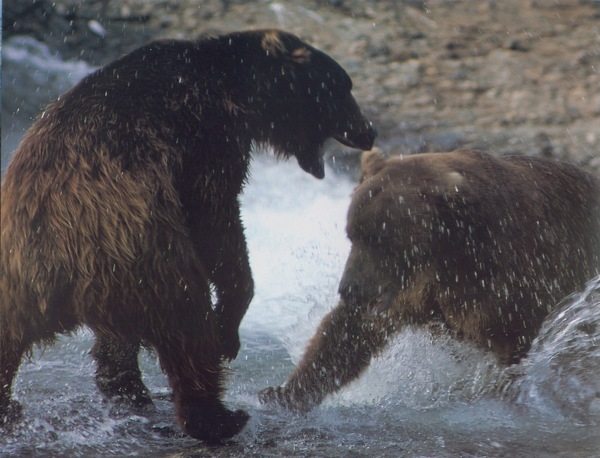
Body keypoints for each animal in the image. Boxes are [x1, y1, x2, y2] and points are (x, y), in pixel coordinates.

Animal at [0, 28, 376, 440]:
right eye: (342, 87)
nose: (368, 131)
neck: (241, 90)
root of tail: (54, 273)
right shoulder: (206, 133)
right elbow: (215, 217)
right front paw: (229, 326)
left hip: (26, 278)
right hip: (138, 250)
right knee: (186, 324)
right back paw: (216, 414)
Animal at [260, 149, 600, 412]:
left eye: (383, 239)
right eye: (352, 233)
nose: (350, 289)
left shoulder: (510, 276)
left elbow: (511, 346)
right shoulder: (410, 291)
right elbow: (349, 332)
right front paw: (283, 393)